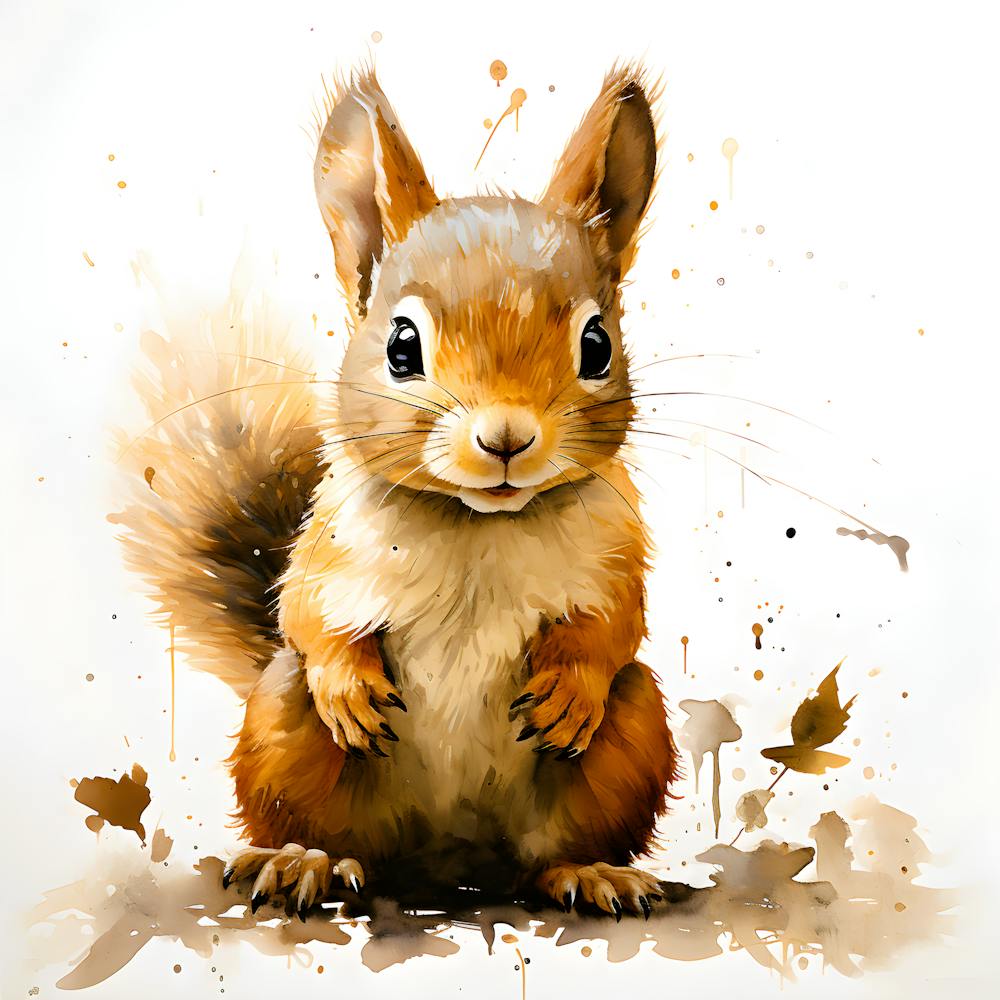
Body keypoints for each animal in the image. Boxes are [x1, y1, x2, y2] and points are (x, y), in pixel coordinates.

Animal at [115, 63, 679, 919]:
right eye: (402, 346)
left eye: (596, 345)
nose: (506, 436)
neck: (480, 523)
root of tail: (454, 865)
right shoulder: (326, 549)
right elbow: (308, 617)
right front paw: (349, 684)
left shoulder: (616, 553)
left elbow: (614, 627)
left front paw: (571, 690)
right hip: (282, 725)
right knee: (330, 827)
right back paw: (303, 860)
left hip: (633, 734)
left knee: (555, 844)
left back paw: (588, 872)